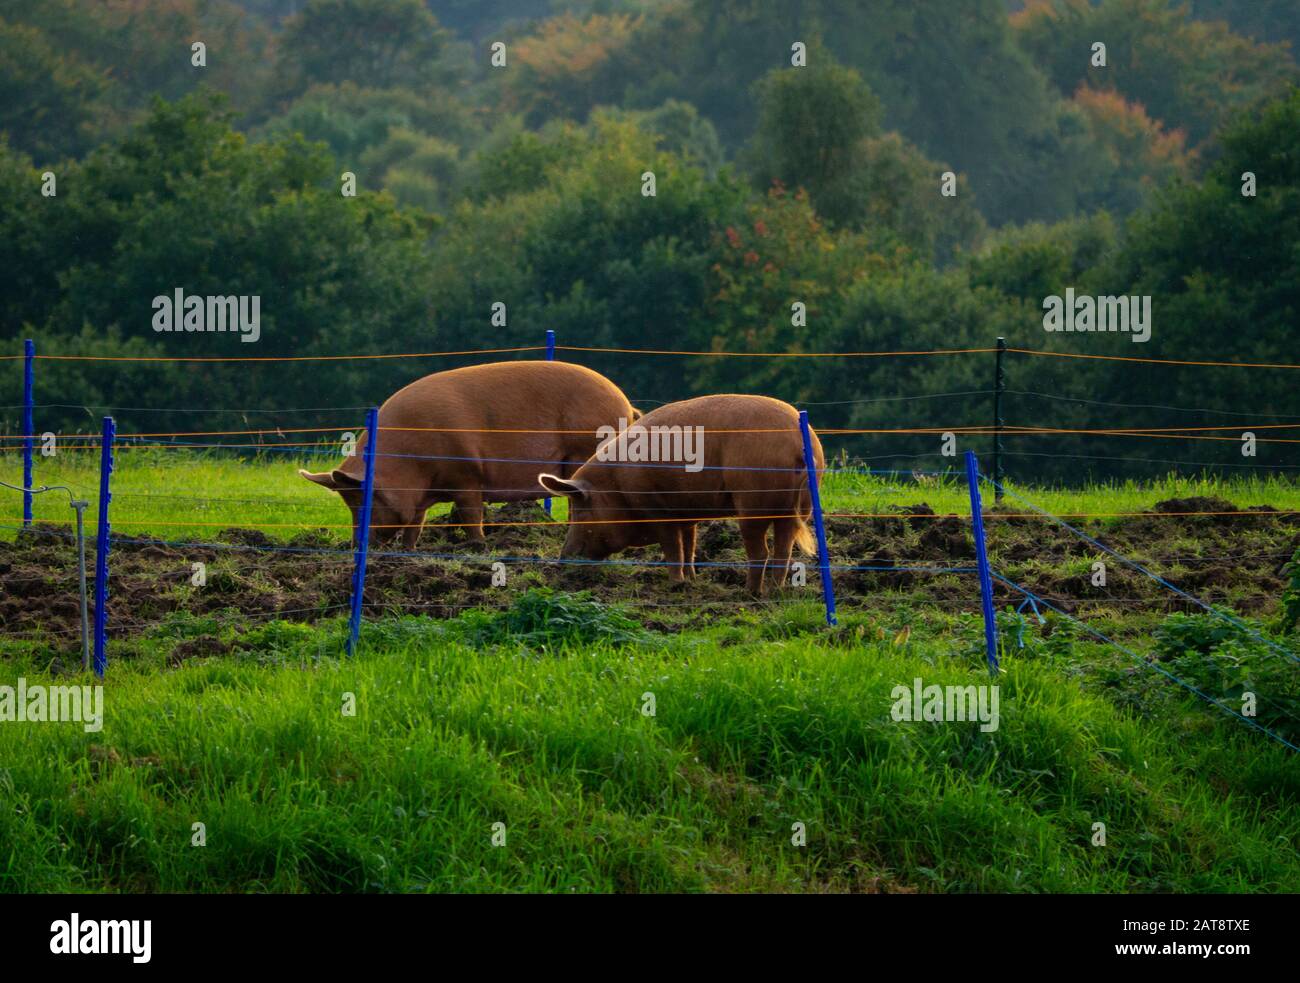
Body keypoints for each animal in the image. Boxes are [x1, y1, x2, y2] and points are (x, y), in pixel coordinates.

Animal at [296, 358, 639, 546]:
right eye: (350, 503)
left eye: (363, 500)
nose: (356, 544)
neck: (409, 462)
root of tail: (624, 402)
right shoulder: (421, 496)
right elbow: (415, 526)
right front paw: (408, 552)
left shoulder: (468, 476)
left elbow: (471, 517)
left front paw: (478, 545)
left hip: (582, 450)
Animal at [538, 392, 821, 595]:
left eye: (580, 511)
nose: (561, 561)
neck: (616, 487)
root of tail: (796, 443)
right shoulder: (686, 513)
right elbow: (689, 545)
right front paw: (692, 581)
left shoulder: (657, 509)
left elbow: (672, 548)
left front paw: (675, 585)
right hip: (797, 508)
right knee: (783, 549)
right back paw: (775, 590)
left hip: (752, 503)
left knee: (761, 552)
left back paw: (749, 593)